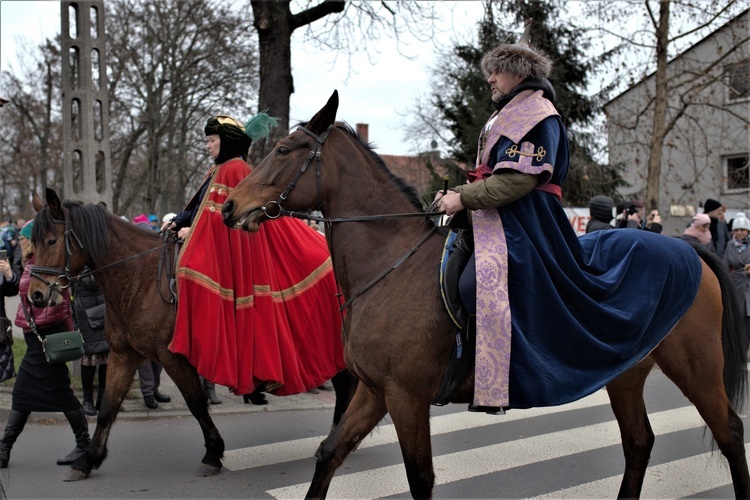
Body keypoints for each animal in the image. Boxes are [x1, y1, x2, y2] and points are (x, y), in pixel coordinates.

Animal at [24, 190, 352, 480]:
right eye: (31, 244)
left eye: (51, 240)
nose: (35, 296)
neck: (139, 279)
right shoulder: (124, 354)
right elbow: (108, 407)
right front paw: (87, 461)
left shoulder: (172, 356)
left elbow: (196, 403)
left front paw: (213, 454)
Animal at [222, 91, 750, 500]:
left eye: (284, 149)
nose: (230, 207)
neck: (391, 265)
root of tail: (687, 248)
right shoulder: (374, 391)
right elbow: (329, 454)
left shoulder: (406, 396)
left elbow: (420, 478)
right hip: (626, 373)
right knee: (639, 442)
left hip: (697, 368)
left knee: (729, 432)